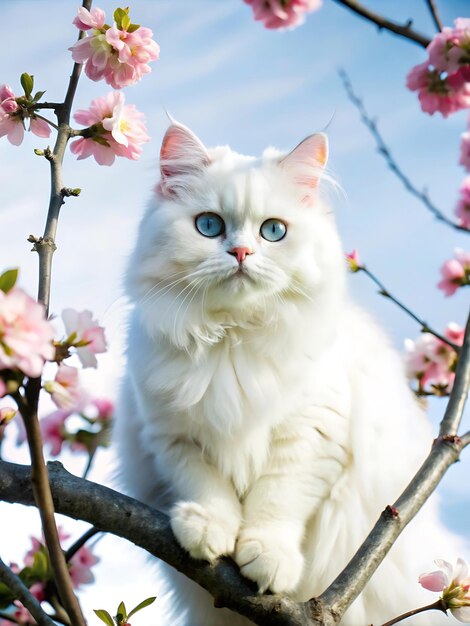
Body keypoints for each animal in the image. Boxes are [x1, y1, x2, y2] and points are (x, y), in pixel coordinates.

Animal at [116, 123, 462, 624]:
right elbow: (207, 484)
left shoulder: (313, 436)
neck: (233, 339)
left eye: (273, 231)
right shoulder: (173, 438)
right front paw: (209, 529)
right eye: (209, 226)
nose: (241, 251)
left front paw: (268, 556)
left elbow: (278, 501)